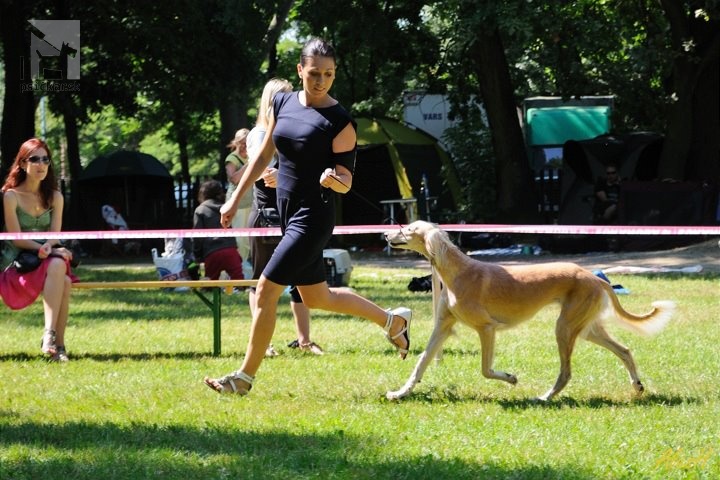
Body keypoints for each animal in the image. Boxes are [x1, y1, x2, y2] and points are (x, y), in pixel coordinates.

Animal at [386, 221, 672, 402]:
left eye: (409, 228)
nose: (386, 236)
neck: (458, 272)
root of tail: (594, 277)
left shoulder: (487, 328)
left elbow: (486, 369)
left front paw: (511, 378)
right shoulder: (443, 327)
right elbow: (421, 364)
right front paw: (399, 393)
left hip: (565, 327)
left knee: (566, 372)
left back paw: (544, 398)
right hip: (585, 328)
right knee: (625, 350)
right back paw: (637, 385)